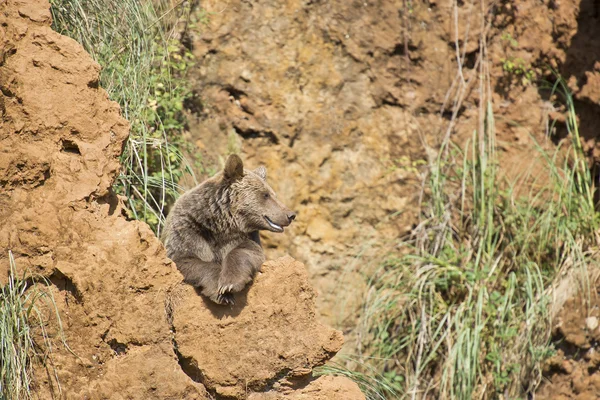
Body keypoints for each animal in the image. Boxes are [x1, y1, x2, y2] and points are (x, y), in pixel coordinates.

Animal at [163, 155, 296, 304]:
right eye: (266, 195)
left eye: (274, 194)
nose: (290, 215)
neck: (221, 223)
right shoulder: (189, 230)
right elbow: (186, 258)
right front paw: (220, 292)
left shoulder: (244, 236)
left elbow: (247, 251)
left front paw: (228, 284)